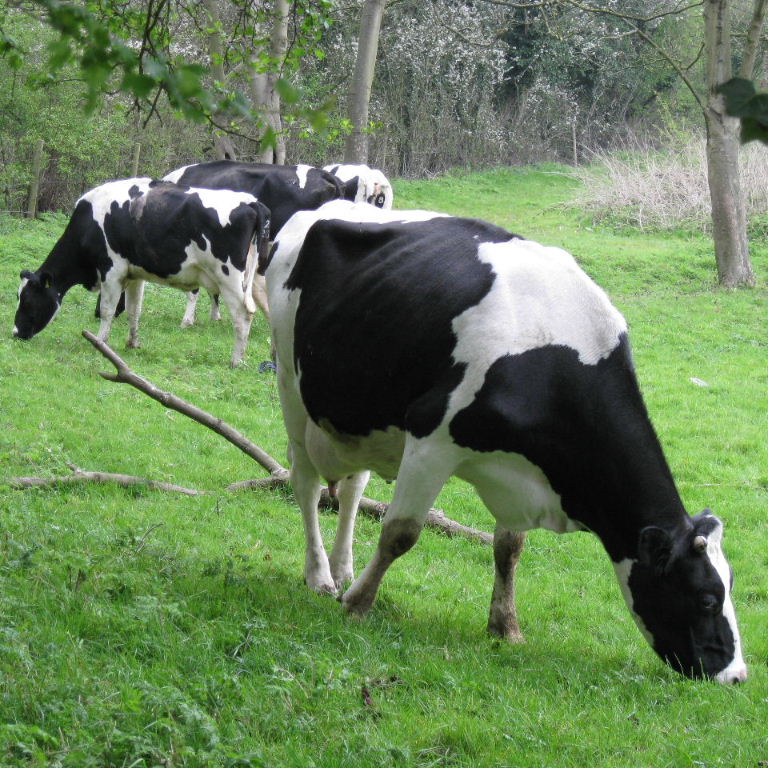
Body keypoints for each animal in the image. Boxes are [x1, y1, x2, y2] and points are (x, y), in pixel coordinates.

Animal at [14, 178, 270, 367]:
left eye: (27, 299)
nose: (16, 333)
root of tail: (251, 203)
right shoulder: (135, 274)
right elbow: (133, 310)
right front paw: (132, 343)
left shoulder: (112, 270)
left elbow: (107, 311)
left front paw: (101, 343)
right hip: (251, 276)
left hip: (229, 278)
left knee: (243, 315)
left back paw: (236, 361)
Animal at [262, 199, 747, 684]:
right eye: (706, 597)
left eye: (730, 585)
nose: (736, 675)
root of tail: (326, 206)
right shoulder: (430, 438)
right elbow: (401, 534)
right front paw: (358, 605)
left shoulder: (522, 466)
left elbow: (509, 549)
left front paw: (505, 626)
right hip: (291, 389)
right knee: (305, 486)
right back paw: (321, 576)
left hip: (361, 420)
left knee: (351, 490)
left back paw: (342, 568)